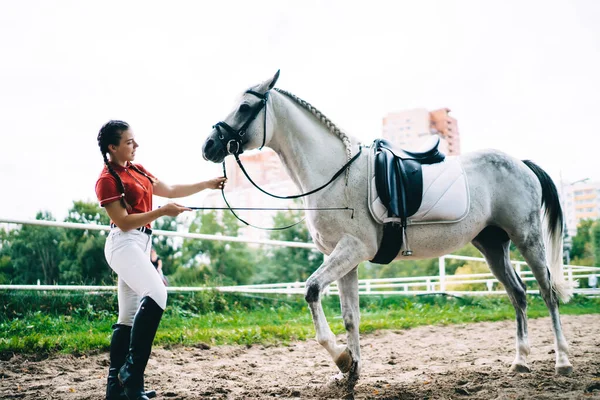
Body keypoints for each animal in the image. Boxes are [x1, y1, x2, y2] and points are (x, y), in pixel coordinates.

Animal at [203, 71, 576, 390]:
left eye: (245, 107)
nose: (209, 146)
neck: (336, 173)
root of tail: (521, 164)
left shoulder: (352, 250)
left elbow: (312, 291)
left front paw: (342, 359)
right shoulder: (345, 259)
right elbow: (350, 316)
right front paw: (351, 373)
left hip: (528, 239)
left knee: (547, 294)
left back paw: (563, 362)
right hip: (493, 246)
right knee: (518, 294)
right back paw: (520, 362)